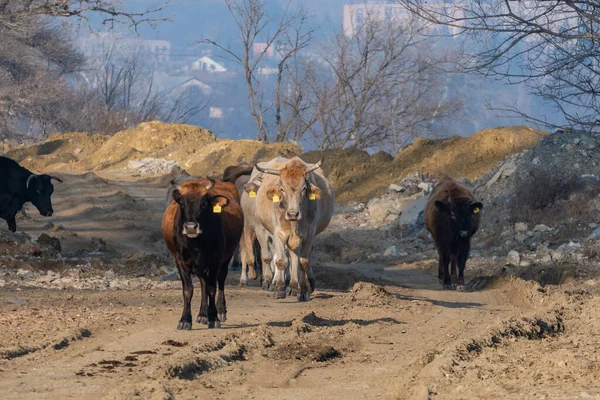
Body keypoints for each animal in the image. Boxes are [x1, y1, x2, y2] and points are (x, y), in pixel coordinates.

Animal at [163, 177, 243, 330]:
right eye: (182, 203)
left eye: (204, 203)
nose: (190, 227)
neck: (196, 244)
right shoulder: (180, 261)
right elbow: (188, 290)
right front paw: (185, 320)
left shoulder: (215, 260)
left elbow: (212, 288)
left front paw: (214, 318)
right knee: (203, 283)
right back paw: (202, 314)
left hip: (227, 256)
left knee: (220, 280)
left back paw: (220, 311)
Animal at [240, 156, 336, 300]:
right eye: (282, 189)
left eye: (304, 188)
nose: (292, 214)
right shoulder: (273, 233)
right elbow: (277, 259)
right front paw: (277, 287)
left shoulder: (309, 235)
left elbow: (302, 262)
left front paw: (303, 290)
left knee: (296, 259)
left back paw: (297, 285)